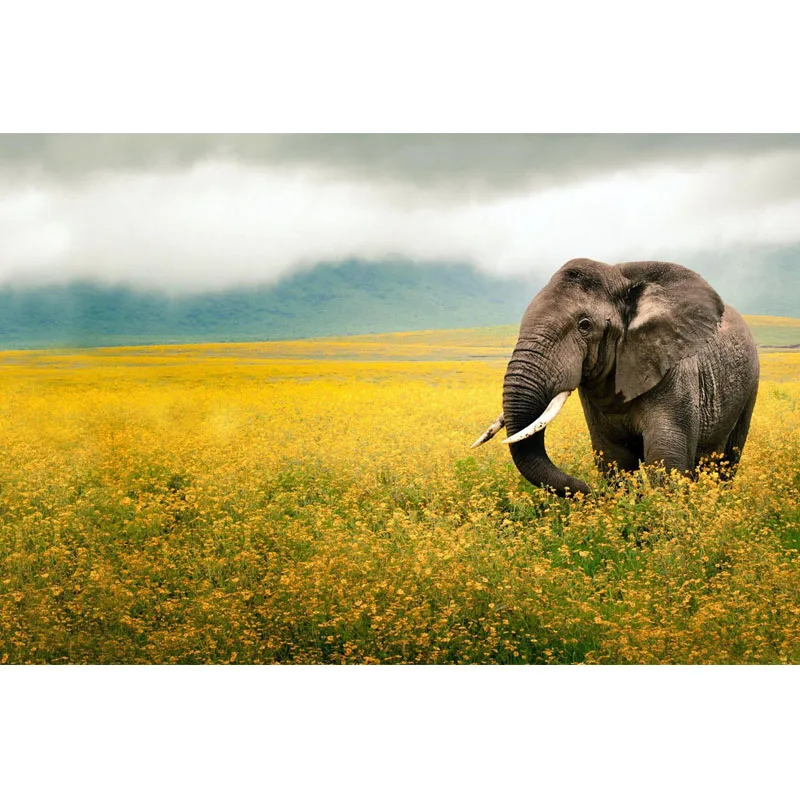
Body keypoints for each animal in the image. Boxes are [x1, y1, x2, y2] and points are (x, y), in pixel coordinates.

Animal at [471, 258, 760, 496]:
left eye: (584, 325)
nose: (589, 491)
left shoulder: (675, 372)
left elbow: (666, 460)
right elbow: (615, 459)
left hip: (750, 386)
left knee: (728, 460)